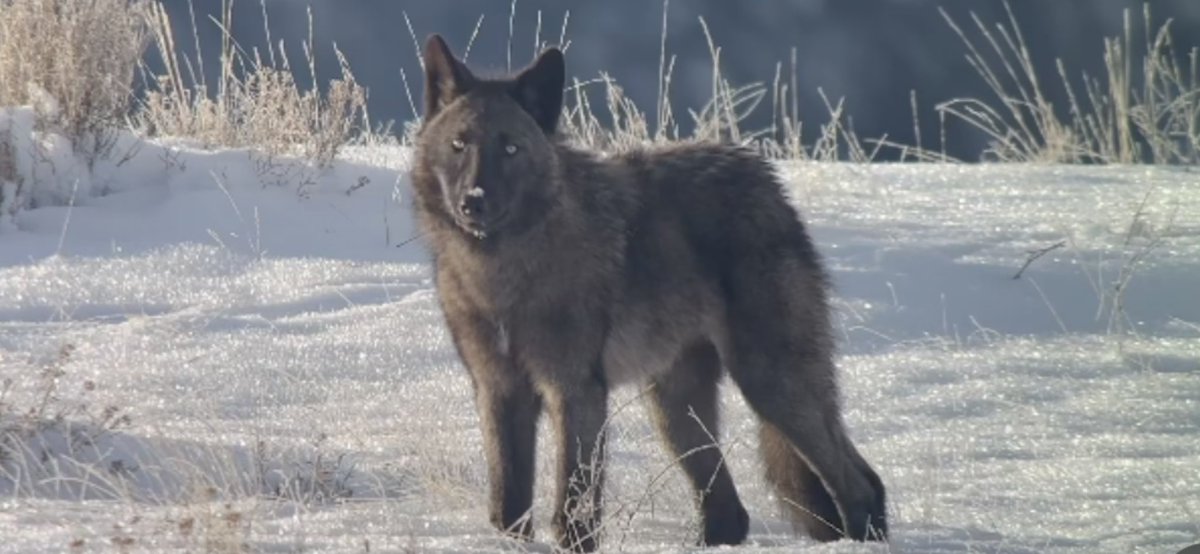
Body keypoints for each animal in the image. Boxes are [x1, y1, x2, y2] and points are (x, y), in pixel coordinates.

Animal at [410, 34, 888, 551]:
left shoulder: (575, 390)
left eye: (512, 148)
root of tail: (767, 182)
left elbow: (575, 501)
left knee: (862, 484)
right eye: (459, 145)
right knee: (730, 512)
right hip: (677, 410)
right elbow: (507, 505)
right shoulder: (497, 390)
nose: (473, 202)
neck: (502, 277)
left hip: (772, 387)